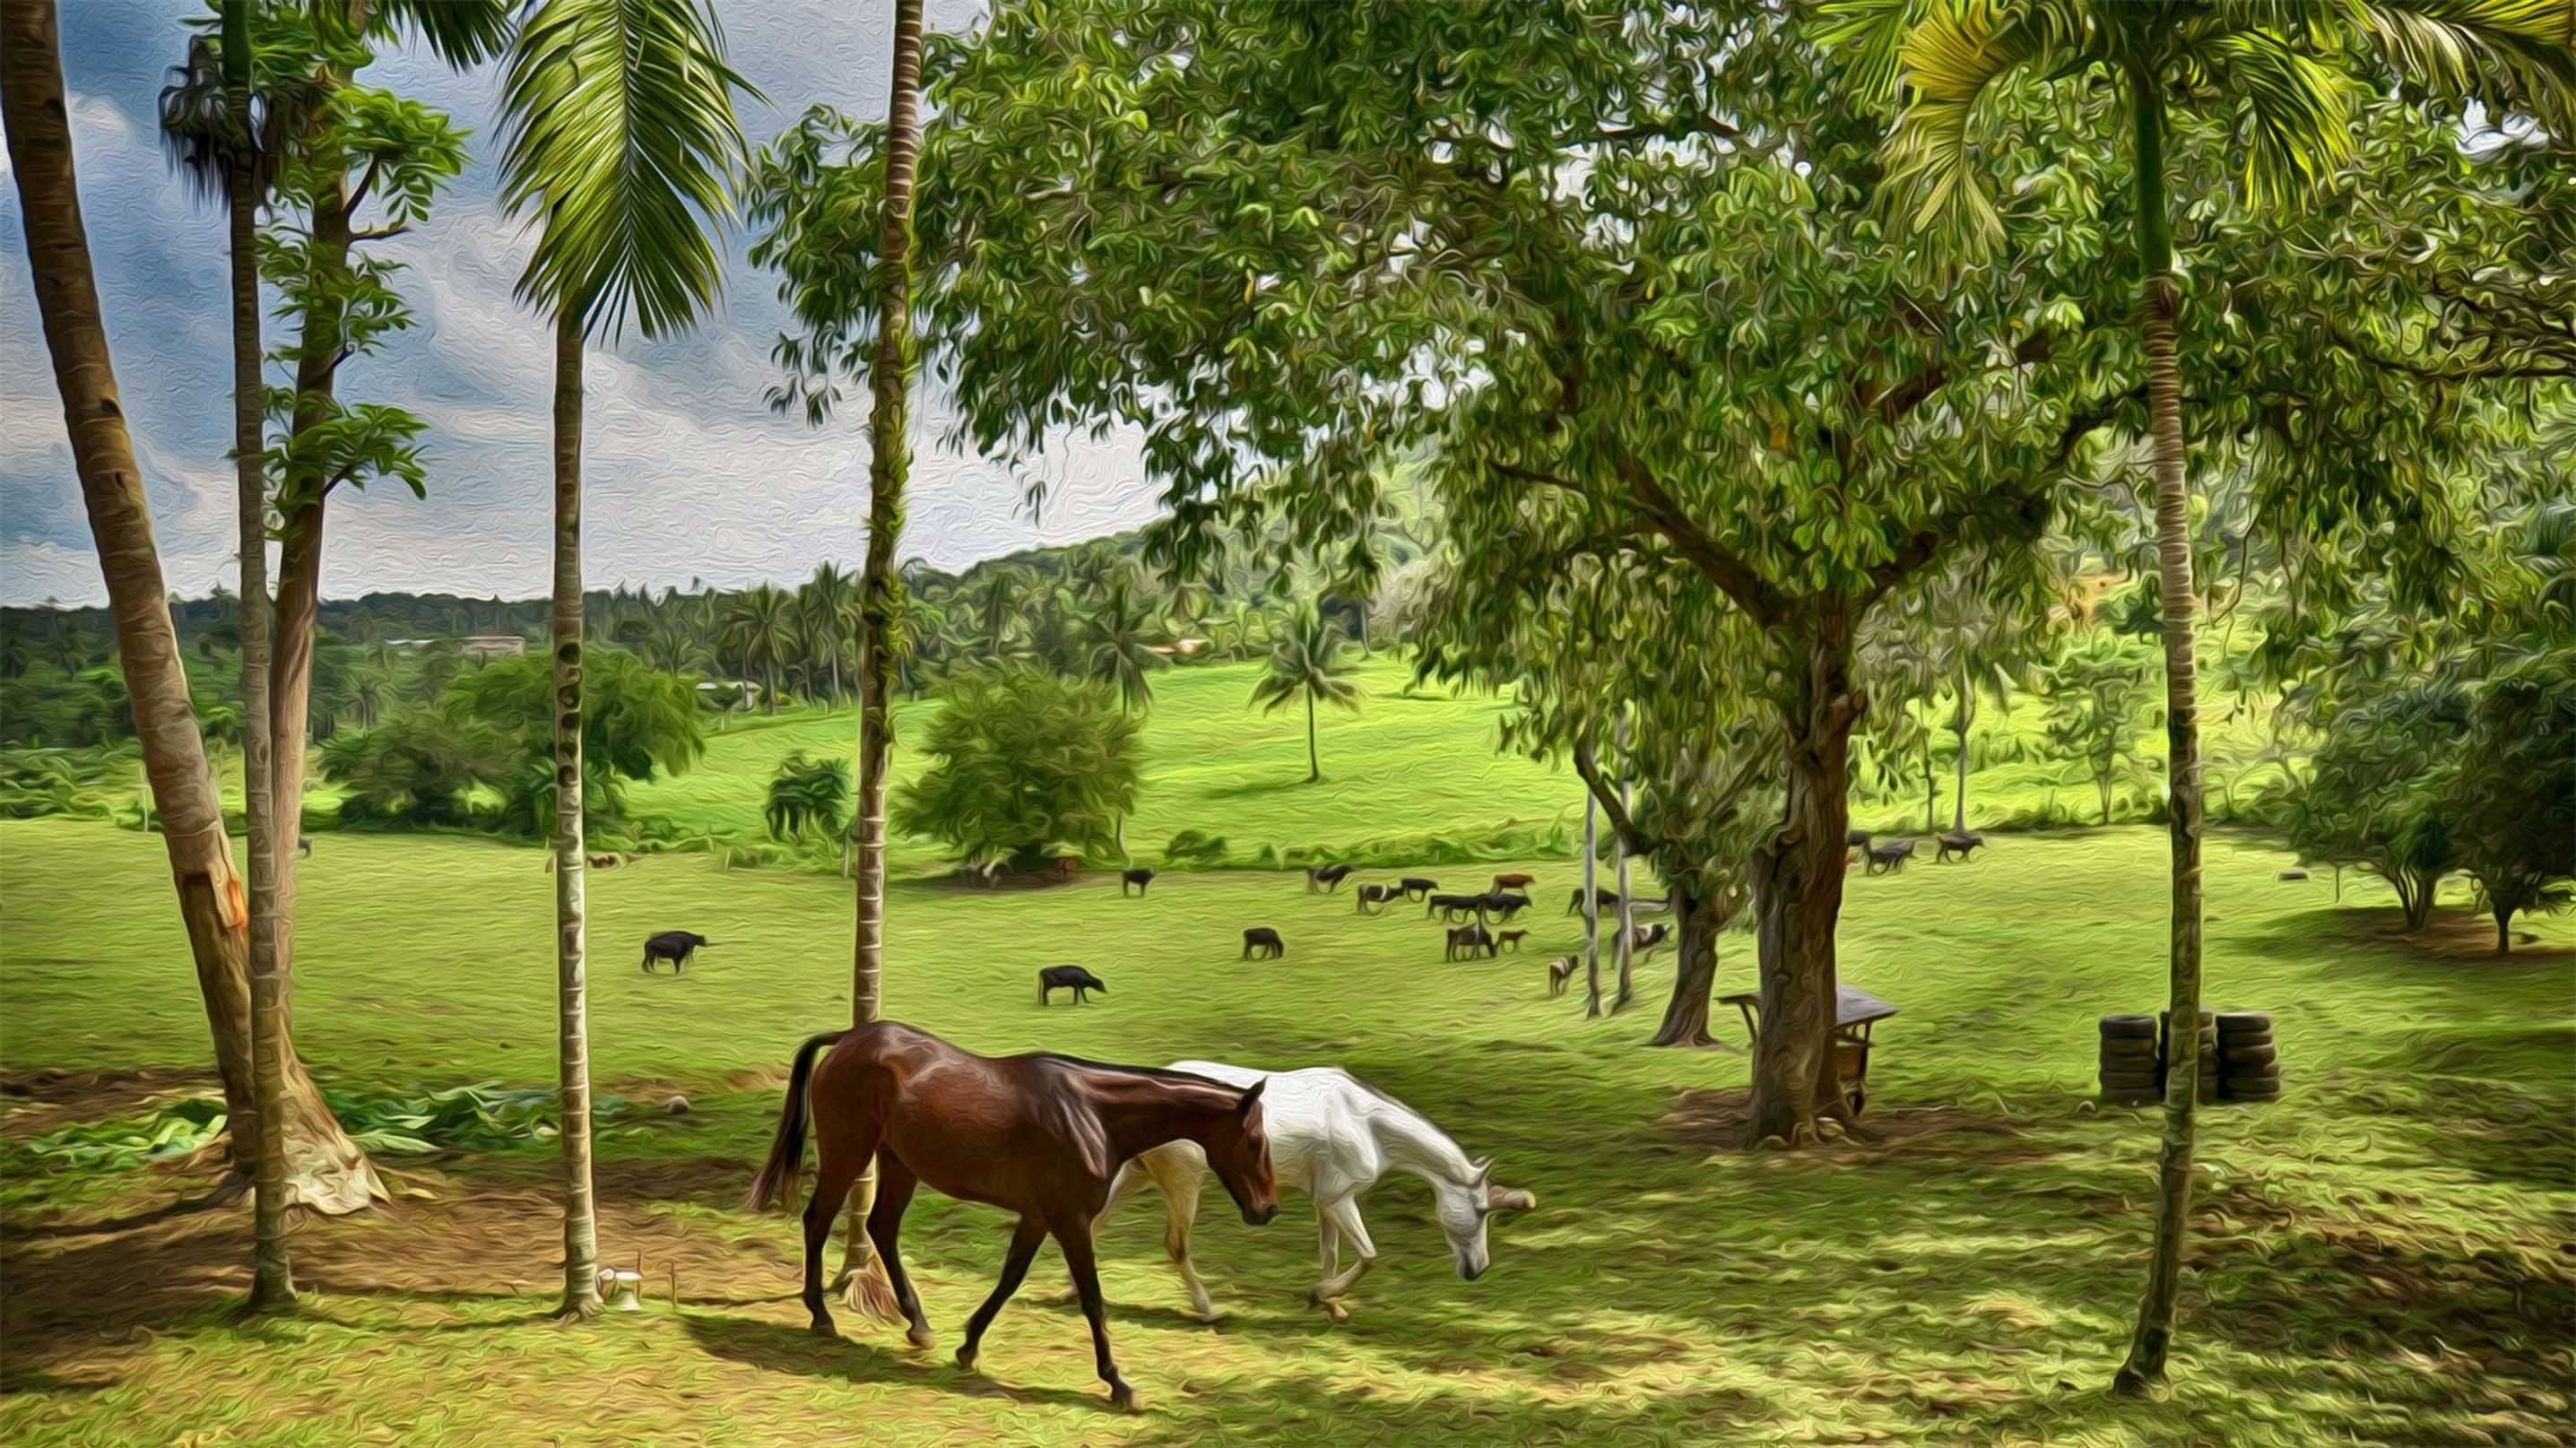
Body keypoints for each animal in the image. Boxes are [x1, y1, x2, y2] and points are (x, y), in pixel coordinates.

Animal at [747, 1023, 1278, 1411]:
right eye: (1255, 1142)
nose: (1267, 1209)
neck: (1093, 1114)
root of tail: (849, 1039)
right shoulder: (1070, 1221)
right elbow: (1093, 1301)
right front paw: (1119, 1385)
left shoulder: (1039, 1218)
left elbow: (1009, 1280)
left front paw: (967, 1347)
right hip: (849, 1151)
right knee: (818, 1220)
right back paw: (821, 1316)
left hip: (898, 1162)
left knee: (882, 1227)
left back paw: (918, 1325)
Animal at [1101, 1061, 1535, 1323]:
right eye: (1480, 1212)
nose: (1478, 1270)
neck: (1366, 1123)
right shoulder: (1338, 1199)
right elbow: (1368, 1256)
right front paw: (1321, 1295)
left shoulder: (1325, 1201)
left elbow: (1331, 1254)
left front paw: (1329, 1305)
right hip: (1184, 1183)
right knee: (1176, 1244)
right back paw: (1208, 1309)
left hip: (1134, 1176)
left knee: (1095, 1223)